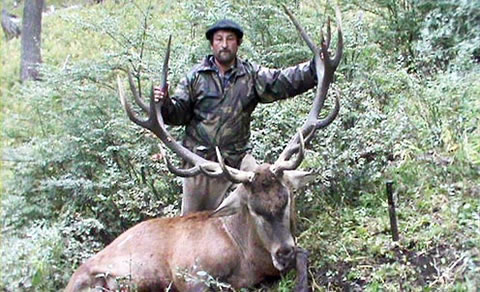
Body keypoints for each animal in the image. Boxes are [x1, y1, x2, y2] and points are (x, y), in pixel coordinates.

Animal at [65, 5, 342, 290]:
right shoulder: (188, 271)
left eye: (287, 198)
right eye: (253, 209)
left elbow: (304, 254)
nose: (283, 253)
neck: (247, 258)